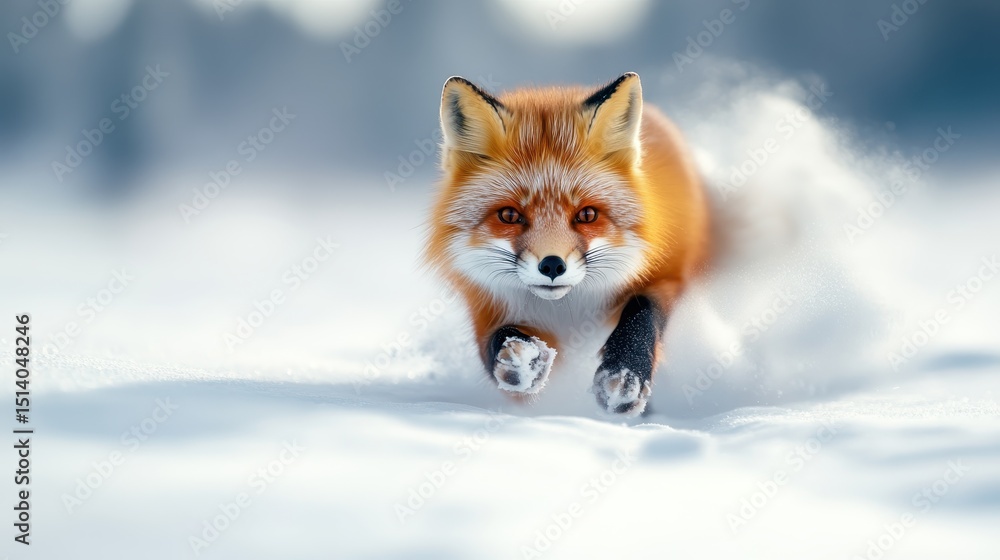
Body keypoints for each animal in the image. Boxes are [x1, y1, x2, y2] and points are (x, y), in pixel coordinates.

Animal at [425, 72, 710, 416]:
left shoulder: (667, 276)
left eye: (587, 215)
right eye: (509, 215)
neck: (568, 309)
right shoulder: (486, 304)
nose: (552, 265)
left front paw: (625, 374)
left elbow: (642, 314)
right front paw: (522, 359)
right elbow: (497, 342)